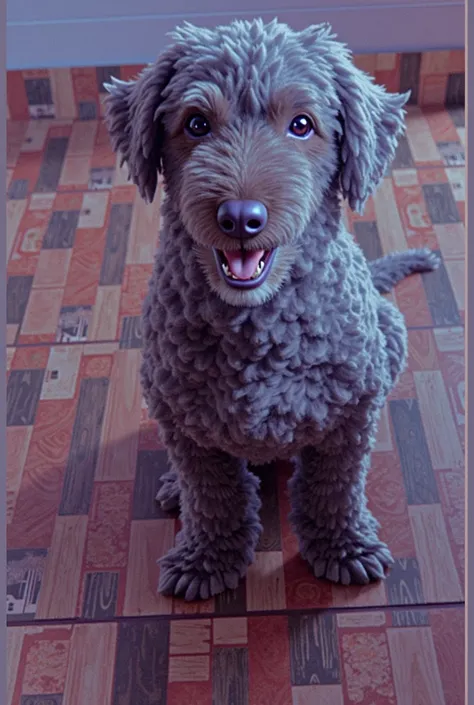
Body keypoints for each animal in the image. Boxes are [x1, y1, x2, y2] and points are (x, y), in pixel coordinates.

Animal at [105, 17, 438, 600]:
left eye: (302, 125)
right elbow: (212, 496)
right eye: (196, 123)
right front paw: (206, 559)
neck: (257, 330)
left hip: (390, 333)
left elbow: (334, 488)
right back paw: (172, 486)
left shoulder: (351, 414)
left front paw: (343, 548)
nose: (241, 217)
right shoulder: (184, 422)